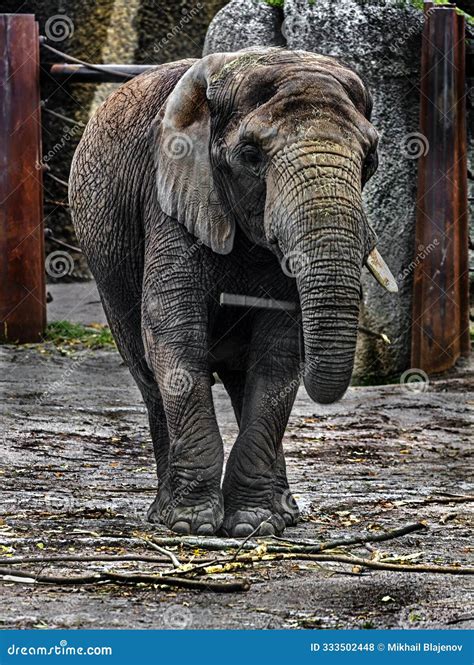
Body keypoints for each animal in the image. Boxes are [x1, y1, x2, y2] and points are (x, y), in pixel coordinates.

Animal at [69, 47, 397, 537]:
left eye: (371, 158)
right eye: (250, 155)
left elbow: (279, 349)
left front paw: (255, 526)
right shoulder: (170, 197)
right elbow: (174, 334)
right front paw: (192, 525)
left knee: (244, 377)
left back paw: (282, 513)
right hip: (106, 266)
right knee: (147, 372)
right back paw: (162, 513)